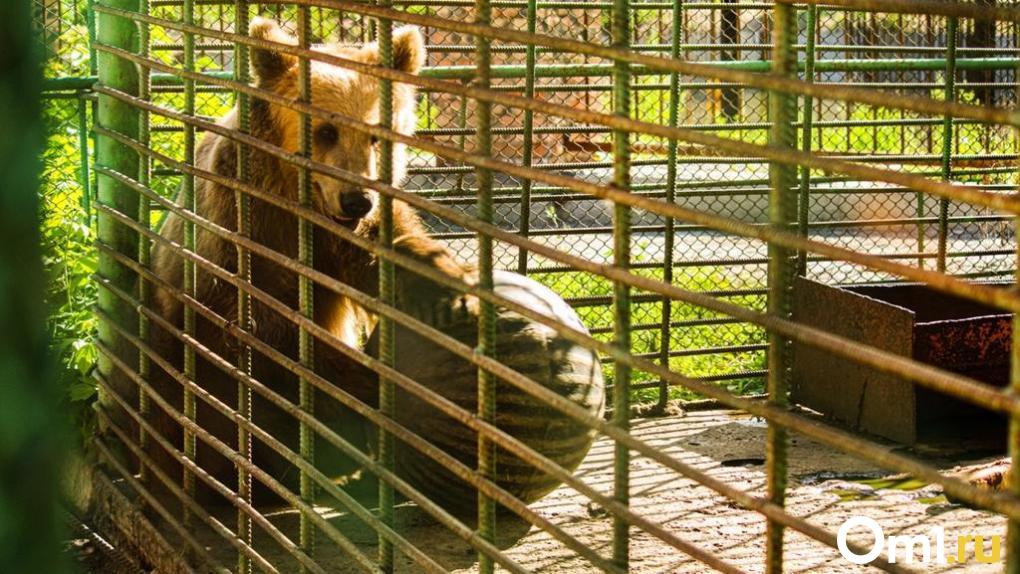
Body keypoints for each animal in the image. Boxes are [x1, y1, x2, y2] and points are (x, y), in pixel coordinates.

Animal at [111, 16, 473, 503]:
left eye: (377, 134)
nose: (356, 198)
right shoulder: (243, 233)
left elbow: (389, 253)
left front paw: (446, 284)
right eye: (326, 131)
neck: (295, 198)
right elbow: (268, 332)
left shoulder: (343, 236)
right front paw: (371, 384)